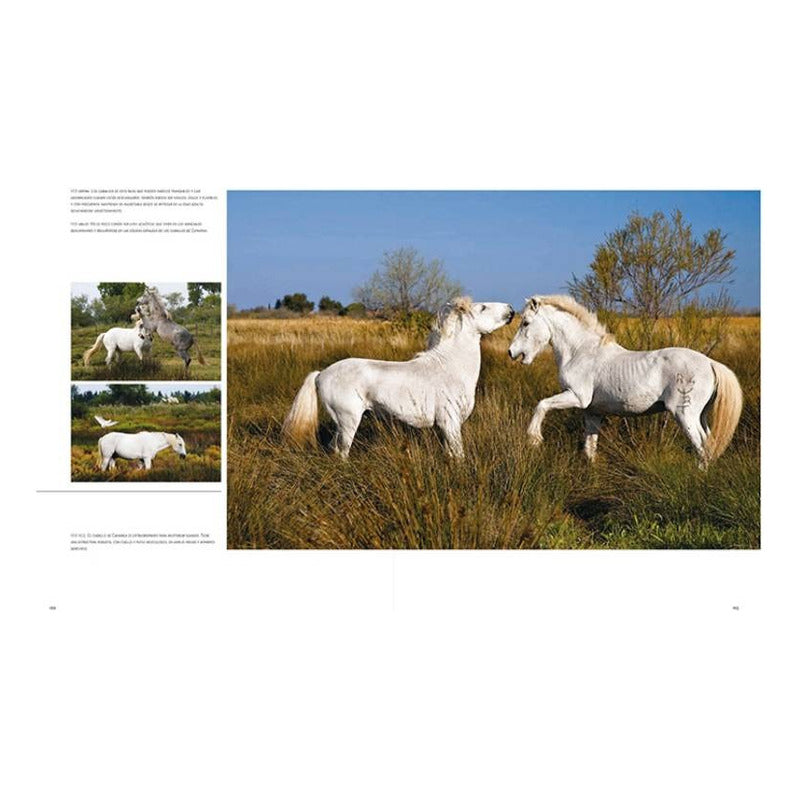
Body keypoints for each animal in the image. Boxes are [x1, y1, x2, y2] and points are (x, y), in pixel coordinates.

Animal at [282, 298, 515, 458]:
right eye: (483, 308)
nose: (511, 310)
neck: (451, 368)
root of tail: (321, 374)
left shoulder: (445, 427)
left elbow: (450, 454)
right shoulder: (450, 422)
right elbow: (459, 456)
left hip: (341, 423)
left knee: (332, 448)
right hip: (348, 420)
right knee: (341, 452)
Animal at [507, 295, 743, 467]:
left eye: (526, 323)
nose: (511, 352)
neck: (580, 351)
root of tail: (710, 363)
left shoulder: (576, 397)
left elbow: (542, 405)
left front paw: (534, 439)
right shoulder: (592, 412)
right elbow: (590, 448)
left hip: (685, 415)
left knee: (702, 448)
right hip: (700, 415)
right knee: (710, 444)